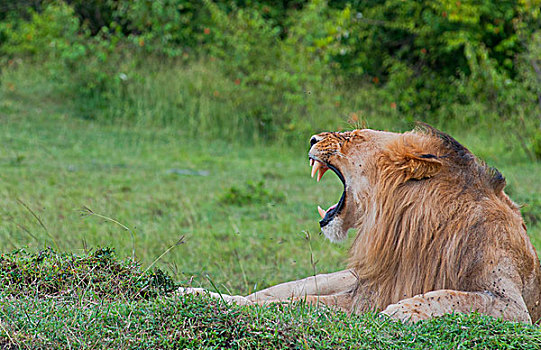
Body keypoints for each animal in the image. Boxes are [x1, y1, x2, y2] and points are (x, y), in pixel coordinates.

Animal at [181, 124, 540, 324]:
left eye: (352, 137)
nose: (311, 138)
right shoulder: (367, 290)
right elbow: (294, 303)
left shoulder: (513, 306)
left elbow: (458, 297)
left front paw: (403, 311)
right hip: (337, 277)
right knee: (265, 294)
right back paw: (191, 292)